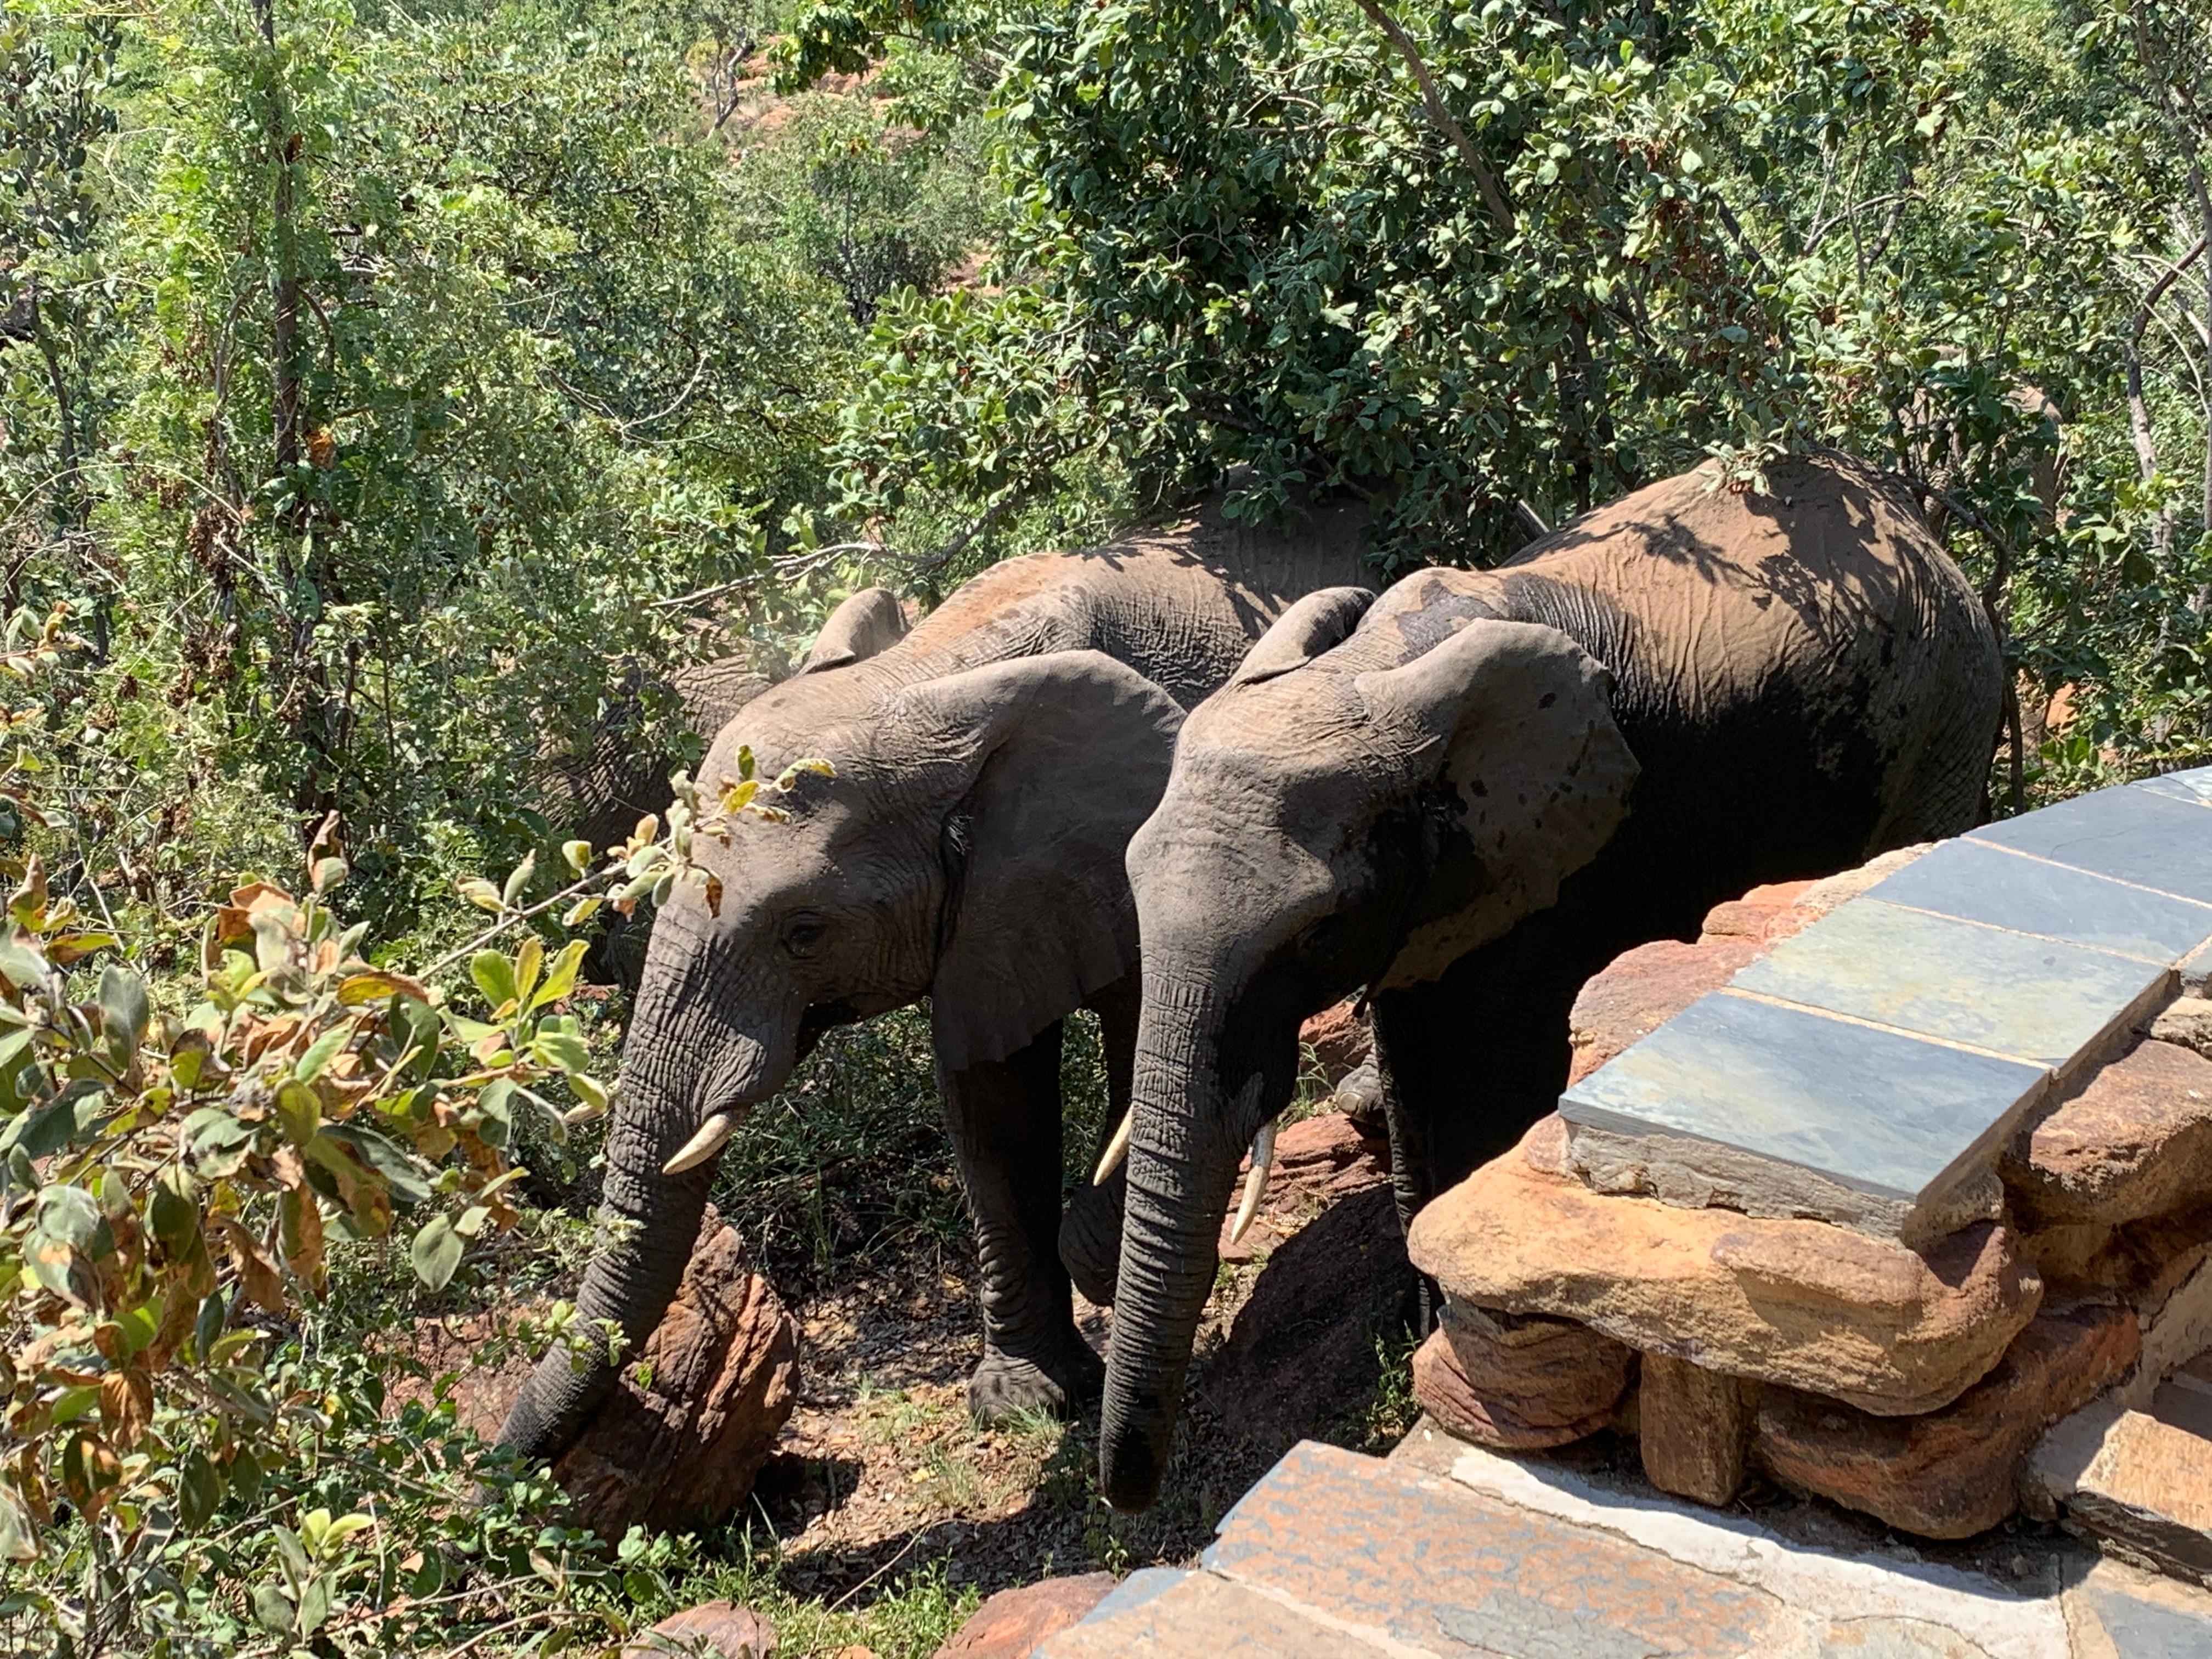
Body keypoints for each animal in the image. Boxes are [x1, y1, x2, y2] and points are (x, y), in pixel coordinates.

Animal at [493, 484, 1371, 1469]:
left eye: (804, 931)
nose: (493, 1475)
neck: (930, 671)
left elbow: (1155, 1066)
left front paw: (1103, 1269)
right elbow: (989, 1104)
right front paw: (1025, 1399)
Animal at [1097, 451, 2017, 1504]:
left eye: (1317, 928)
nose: (1125, 1498)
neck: (1375, 667)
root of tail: (1924, 530)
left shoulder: (1561, 859)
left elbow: (1485, 1092)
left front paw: (1457, 1351)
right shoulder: (1437, 894)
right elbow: (1414, 1093)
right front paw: (1428, 1330)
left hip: (1945, 718)